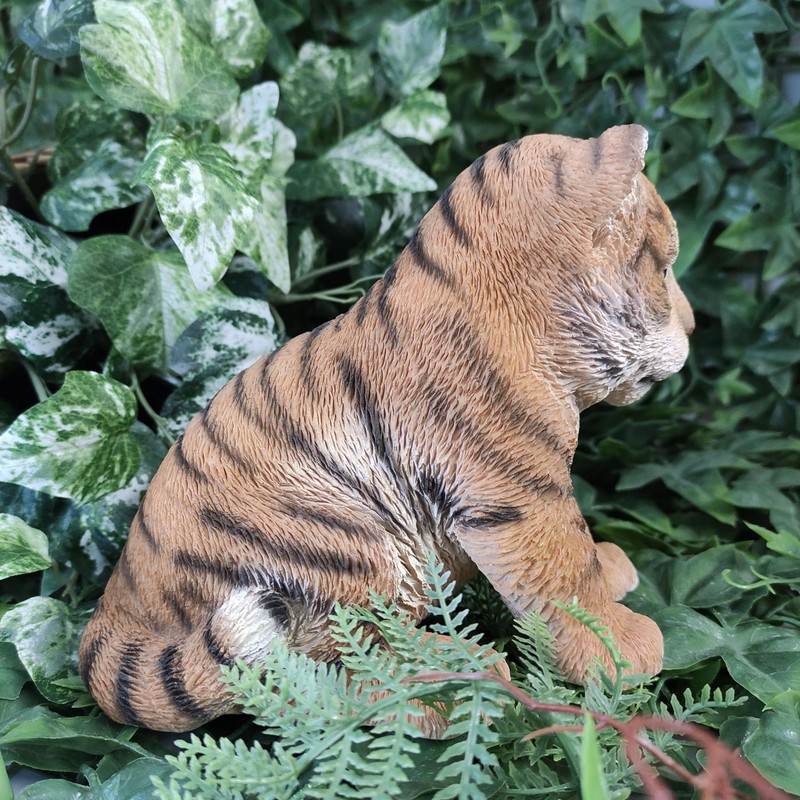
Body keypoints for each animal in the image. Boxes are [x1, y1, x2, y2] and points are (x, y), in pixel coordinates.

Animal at [79, 124, 695, 736]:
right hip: (344, 544)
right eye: (665, 269)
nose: (693, 326)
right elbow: (566, 572)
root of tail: (116, 608)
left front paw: (611, 571)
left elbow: (580, 556)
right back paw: (454, 677)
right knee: (328, 672)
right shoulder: (519, 496)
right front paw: (618, 649)